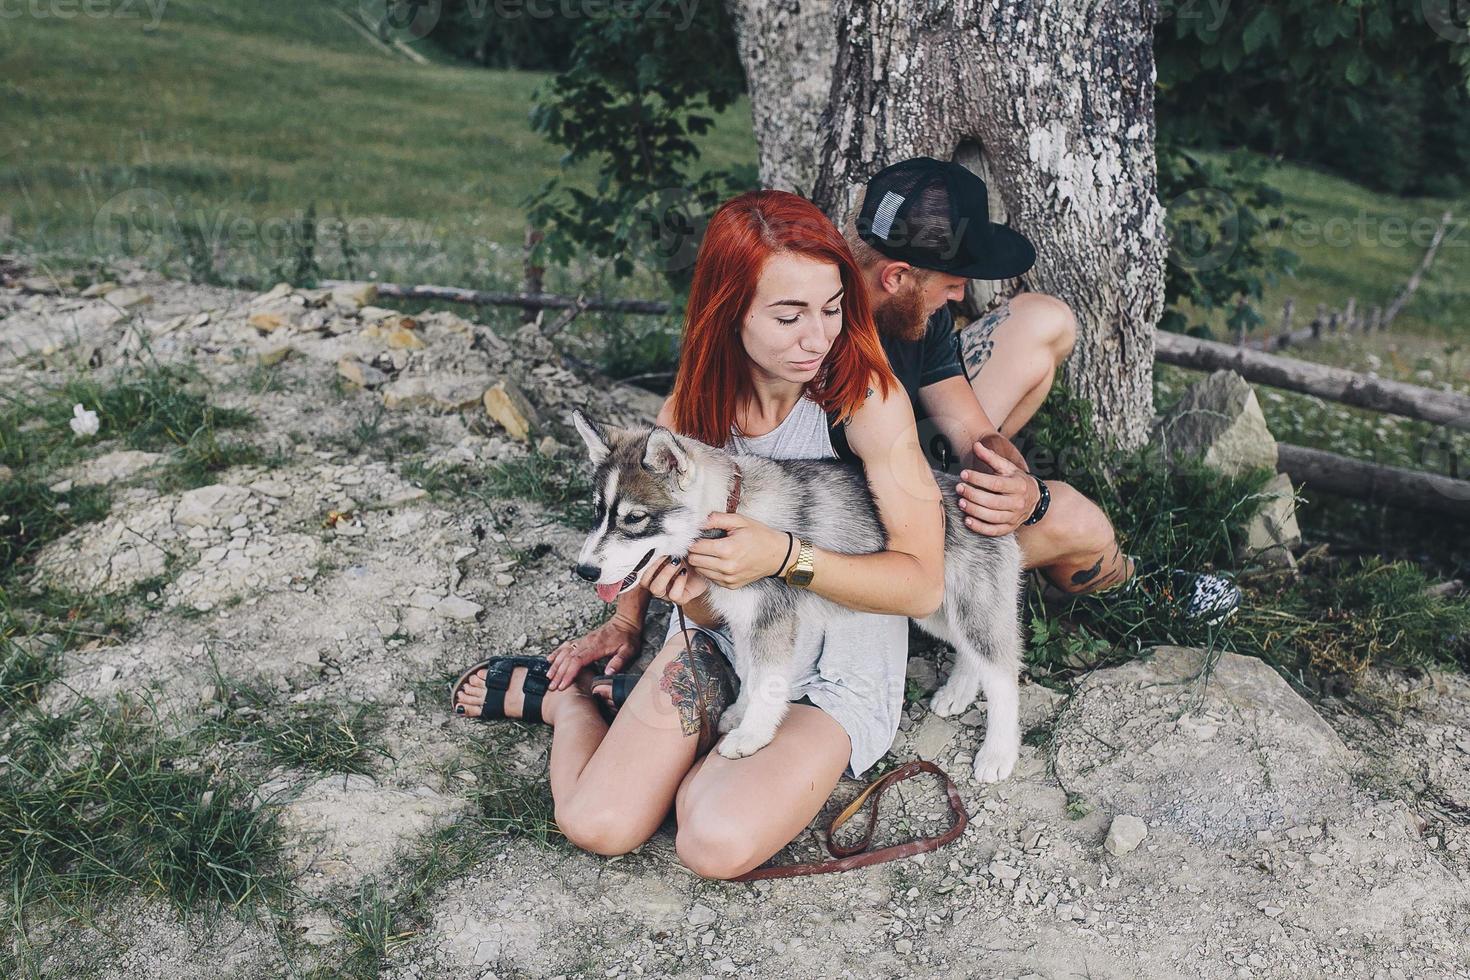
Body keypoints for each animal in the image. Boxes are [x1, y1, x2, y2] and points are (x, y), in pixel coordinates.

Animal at [570, 411, 1023, 787]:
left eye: (634, 519)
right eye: (596, 512)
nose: (584, 571)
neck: (733, 506)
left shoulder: (770, 619)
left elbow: (768, 681)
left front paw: (752, 735)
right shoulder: (744, 619)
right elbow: (750, 671)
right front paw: (740, 712)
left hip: (962, 604)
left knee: (1002, 671)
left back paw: (999, 752)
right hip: (932, 609)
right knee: (973, 651)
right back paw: (958, 692)